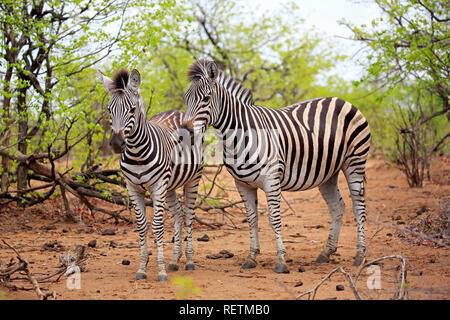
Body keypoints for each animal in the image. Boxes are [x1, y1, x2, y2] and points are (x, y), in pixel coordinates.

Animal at [99, 67, 203, 280]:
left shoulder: (157, 186)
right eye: (109, 110)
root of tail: (178, 111)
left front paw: (161, 271)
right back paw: (175, 260)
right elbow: (141, 226)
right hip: (170, 185)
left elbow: (157, 226)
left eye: (132, 109)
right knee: (178, 213)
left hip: (192, 179)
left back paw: (189, 261)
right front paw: (142, 268)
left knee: (188, 214)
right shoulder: (132, 187)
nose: (116, 144)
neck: (137, 153)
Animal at [181, 59, 370, 272]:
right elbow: (252, 219)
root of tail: (342, 100)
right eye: (186, 98)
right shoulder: (243, 184)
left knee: (358, 207)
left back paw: (360, 255)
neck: (240, 135)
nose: (185, 131)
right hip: (327, 172)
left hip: (355, 161)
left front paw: (281, 261)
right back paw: (325, 253)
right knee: (338, 207)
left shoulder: (272, 180)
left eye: (206, 98)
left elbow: (274, 218)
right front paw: (251, 257)